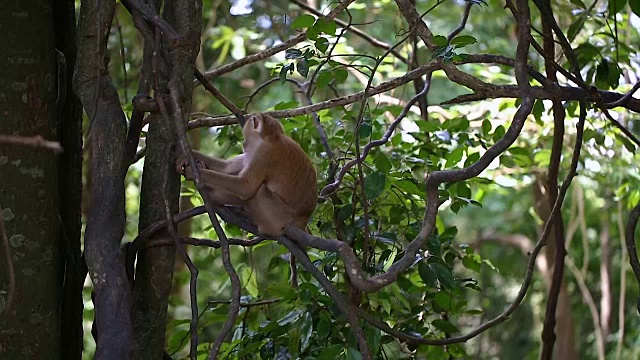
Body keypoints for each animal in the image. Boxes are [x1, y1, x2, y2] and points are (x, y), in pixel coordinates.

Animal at [175, 112, 318, 240]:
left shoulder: (263, 155)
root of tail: (302, 221)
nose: (244, 144)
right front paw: (189, 156)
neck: (271, 137)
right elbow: (227, 167)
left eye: (246, 137)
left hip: (277, 216)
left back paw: (212, 195)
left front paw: (195, 172)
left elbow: (245, 187)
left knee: (257, 192)